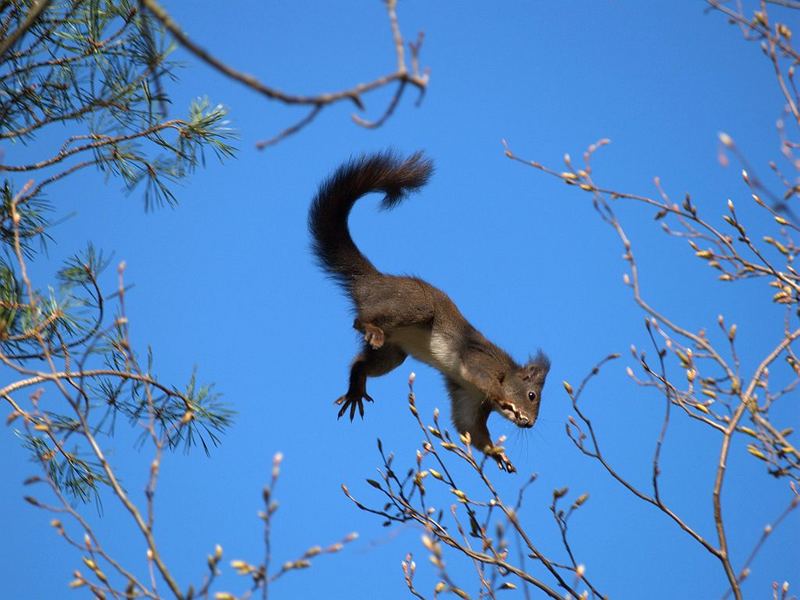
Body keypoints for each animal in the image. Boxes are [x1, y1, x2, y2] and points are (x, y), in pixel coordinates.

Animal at [308, 151, 552, 474]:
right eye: (532, 395)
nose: (529, 423)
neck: (505, 374)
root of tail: (372, 281)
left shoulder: (469, 396)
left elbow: (469, 427)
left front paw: (498, 454)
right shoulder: (479, 364)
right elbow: (484, 387)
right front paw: (502, 401)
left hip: (393, 353)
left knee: (360, 363)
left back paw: (356, 390)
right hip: (413, 308)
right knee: (359, 320)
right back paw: (369, 328)